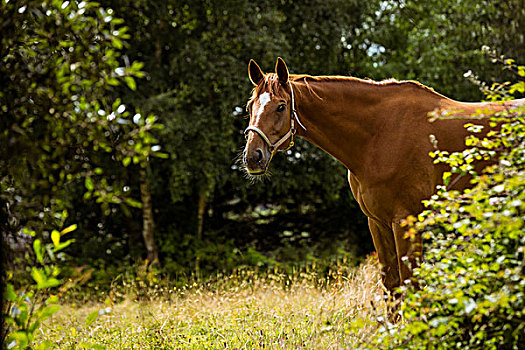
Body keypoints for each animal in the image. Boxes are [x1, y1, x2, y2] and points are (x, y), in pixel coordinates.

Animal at [243, 58, 524, 292]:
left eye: (281, 106)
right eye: (249, 106)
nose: (253, 157)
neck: (379, 134)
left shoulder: (406, 221)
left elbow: (411, 282)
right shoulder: (377, 222)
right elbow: (391, 282)